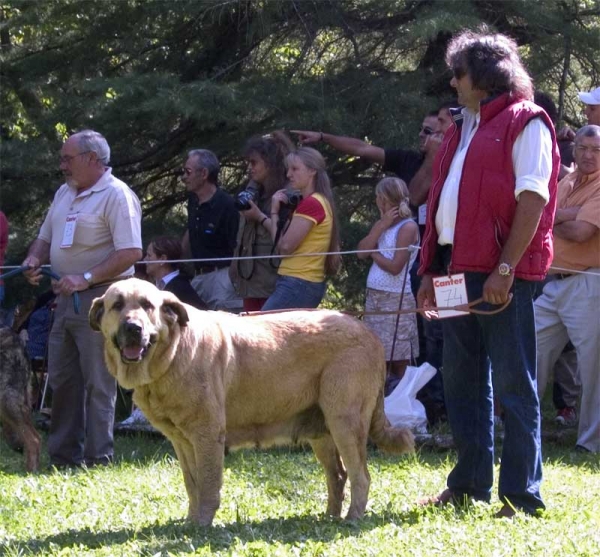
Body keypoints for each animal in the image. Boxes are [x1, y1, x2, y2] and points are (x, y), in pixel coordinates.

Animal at [89, 280, 414, 524]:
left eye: (147, 306)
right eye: (117, 305)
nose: (133, 328)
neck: (172, 353)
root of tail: (369, 332)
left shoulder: (208, 435)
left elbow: (208, 484)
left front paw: (202, 525)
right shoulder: (182, 441)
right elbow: (192, 484)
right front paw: (191, 521)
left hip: (345, 421)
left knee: (361, 476)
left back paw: (351, 519)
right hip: (322, 431)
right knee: (338, 475)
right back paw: (329, 516)